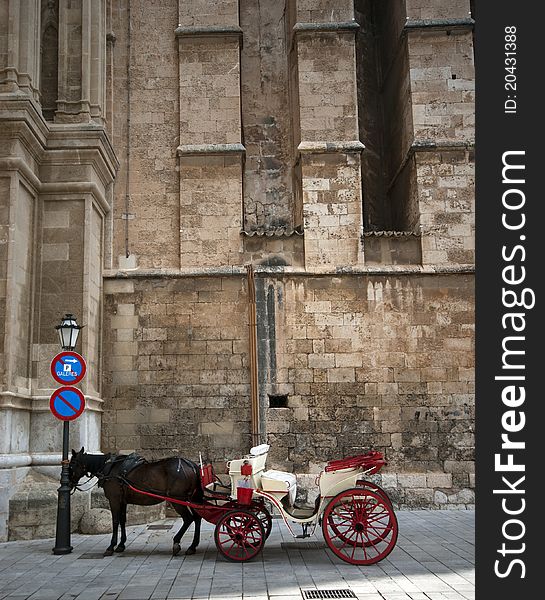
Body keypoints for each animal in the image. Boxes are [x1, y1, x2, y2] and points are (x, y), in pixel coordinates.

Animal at [69, 448, 203, 556]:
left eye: (71, 464)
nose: (68, 483)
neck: (110, 468)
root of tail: (192, 465)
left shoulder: (114, 499)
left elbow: (115, 521)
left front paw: (111, 546)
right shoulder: (122, 501)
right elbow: (122, 520)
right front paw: (121, 545)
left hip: (178, 500)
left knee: (188, 519)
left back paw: (176, 542)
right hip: (190, 499)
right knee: (197, 518)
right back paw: (192, 546)